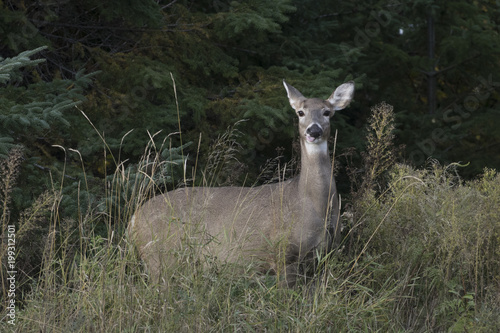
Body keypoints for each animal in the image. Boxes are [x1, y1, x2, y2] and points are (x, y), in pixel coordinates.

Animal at [129, 80, 356, 286]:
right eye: (300, 112)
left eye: (327, 112)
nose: (313, 131)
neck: (311, 203)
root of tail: (134, 219)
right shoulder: (283, 254)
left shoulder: (324, 257)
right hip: (160, 257)